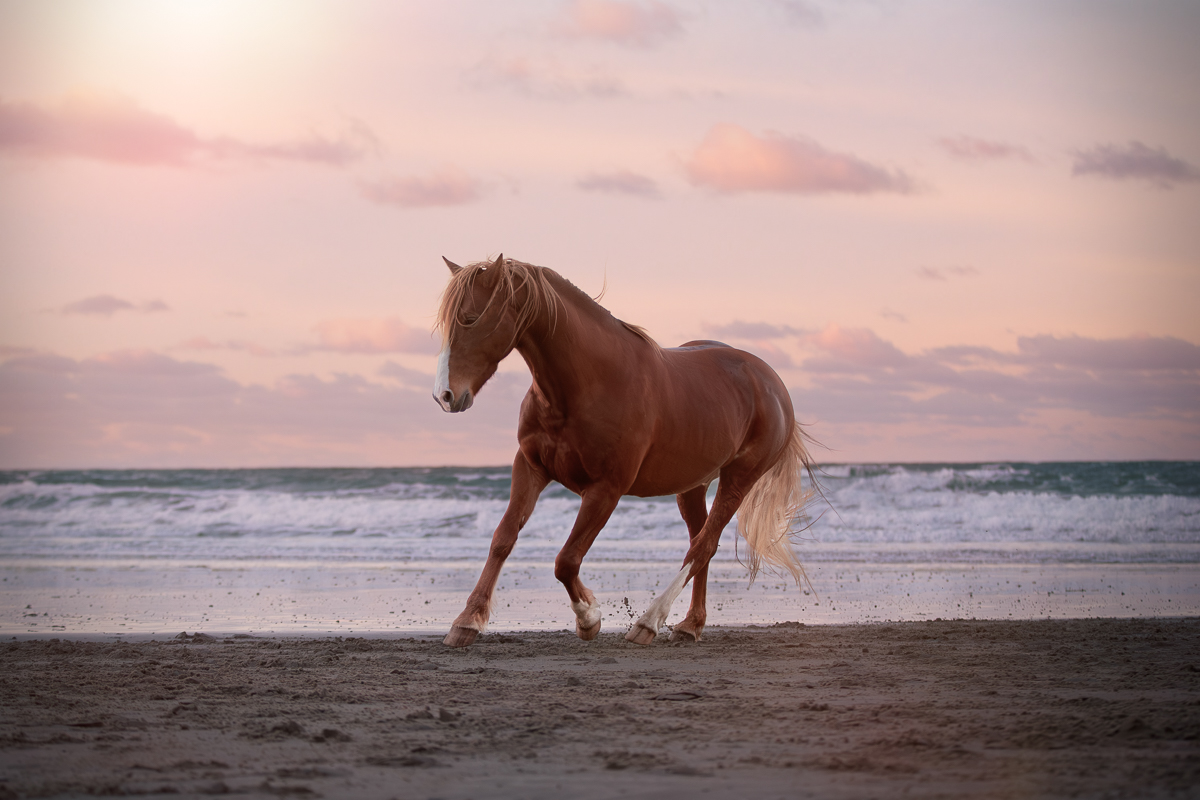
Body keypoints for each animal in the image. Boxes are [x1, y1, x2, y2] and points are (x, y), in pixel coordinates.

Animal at [433, 254, 816, 648]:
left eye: (470, 318)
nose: (444, 395)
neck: (588, 382)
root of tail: (771, 381)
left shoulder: (606, 489)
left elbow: (566, 560)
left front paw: (589, 617)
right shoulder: (530, 467)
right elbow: (503, 539)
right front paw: (467, 621)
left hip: (738, 479)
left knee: (703, 546)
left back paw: (649, 622)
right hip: (692, 486)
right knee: (701, 542)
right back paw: (690, 624)